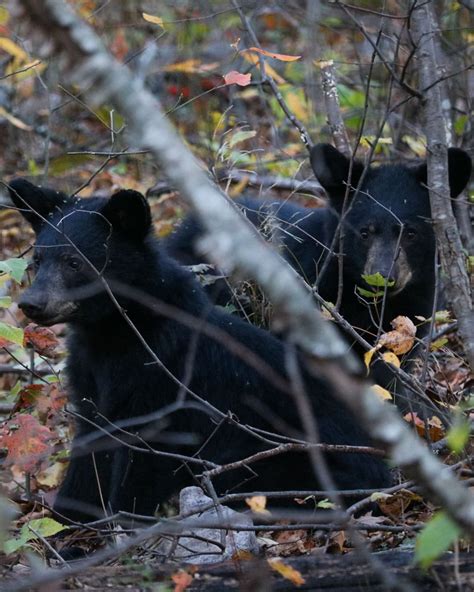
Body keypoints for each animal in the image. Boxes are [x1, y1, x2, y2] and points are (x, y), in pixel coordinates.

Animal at [9, 179, 390, 524]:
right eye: (38, 259)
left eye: (74, 261)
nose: (31, 303)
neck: (113, 331)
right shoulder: (92, 376)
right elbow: (91, 447)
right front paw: (68, 521)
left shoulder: (164, 375)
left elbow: (145, 459)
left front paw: (122, 522)